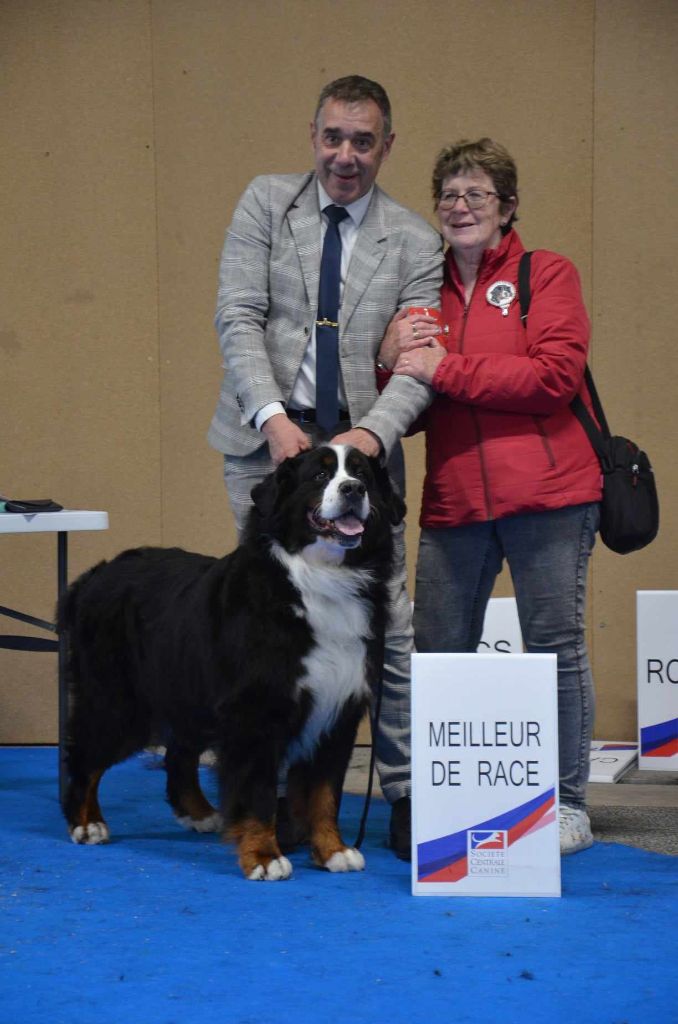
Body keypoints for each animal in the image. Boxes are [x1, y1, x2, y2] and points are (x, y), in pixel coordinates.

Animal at [59, 446, 403, 880]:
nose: (353, 489)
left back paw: (199, 813)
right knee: (85, 756)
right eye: (320, 476)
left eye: (363, 475)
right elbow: (258, 793)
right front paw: (264, 856)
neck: (319, 580)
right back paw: (86, 823)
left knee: (178, 753)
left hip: (184, 690)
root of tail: (96, 575)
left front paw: (333, 851)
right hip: (119, 702)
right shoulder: (254, 713)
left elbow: (325, 793)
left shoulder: (338, 710)